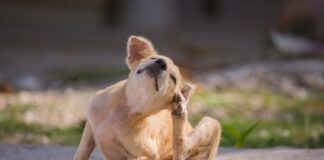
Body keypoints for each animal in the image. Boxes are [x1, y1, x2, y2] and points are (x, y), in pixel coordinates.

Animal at [73, 36, 221, 160]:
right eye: (153, 58)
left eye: (173, 78)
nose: (161, 63)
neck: (129, 107)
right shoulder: (90, 127)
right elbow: (82, 152)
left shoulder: (143, 155)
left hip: (211, 123)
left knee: (180, 149)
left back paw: (180, 112)